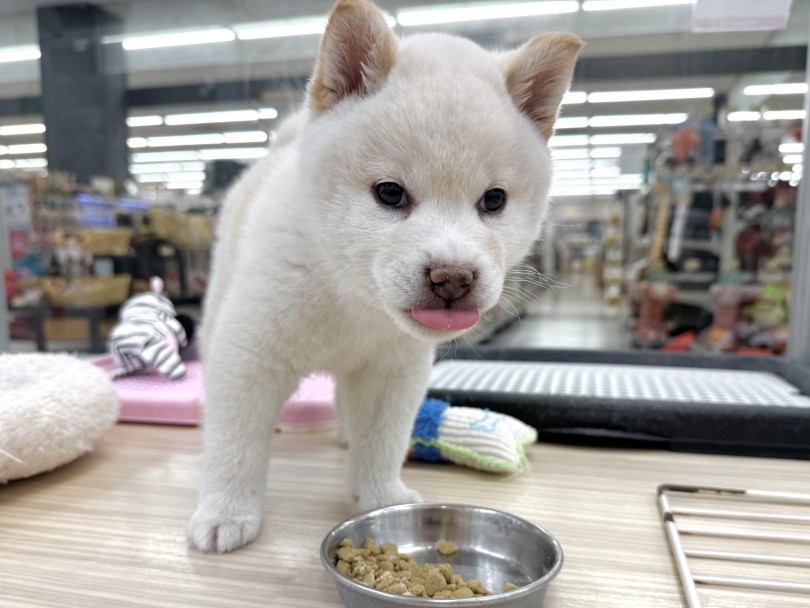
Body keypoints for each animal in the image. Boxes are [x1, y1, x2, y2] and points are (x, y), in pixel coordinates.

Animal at [188, 0, 580, 552]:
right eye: (390, 193)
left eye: (494, 200)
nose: (453, 277)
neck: (354, 300)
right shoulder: (250, 357)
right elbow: (235, 445)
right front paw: (226, 512)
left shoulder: (393, 372)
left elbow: (383, 442)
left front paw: (379, 498)